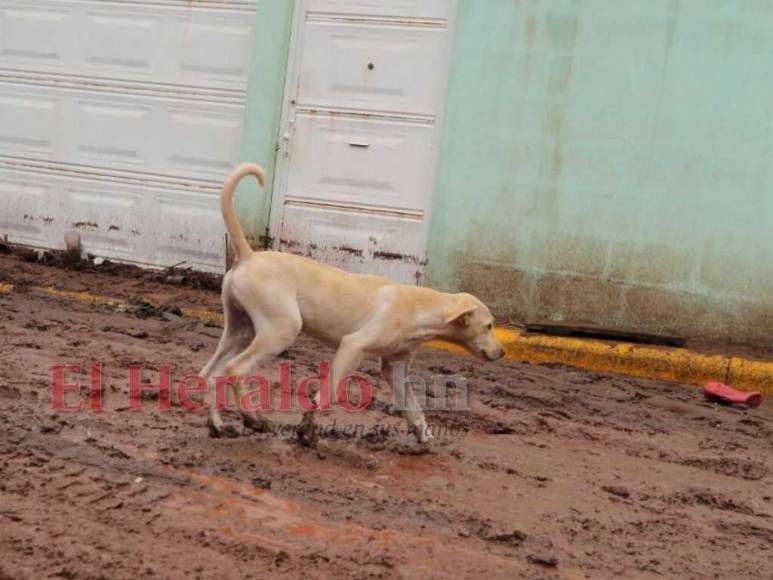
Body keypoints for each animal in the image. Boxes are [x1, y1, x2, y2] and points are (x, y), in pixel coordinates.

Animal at [202, 163, 504, 444]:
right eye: (489, 326)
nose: (502, 353)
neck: (420, 308)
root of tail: (249, 256)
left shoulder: (395, 368)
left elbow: (413, 407)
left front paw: (426, 437)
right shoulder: (353, 346)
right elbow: (328, 393)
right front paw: (307, 430)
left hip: (240, 329)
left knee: (211, 374)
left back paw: (218, 426)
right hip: (281, 329)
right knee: (235, 370)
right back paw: (253, 419)